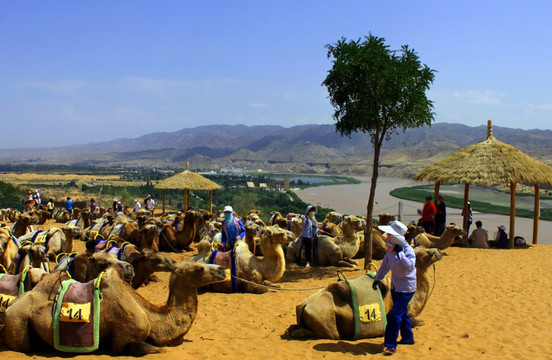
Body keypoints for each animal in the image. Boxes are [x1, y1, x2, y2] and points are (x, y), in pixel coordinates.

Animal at [5, 260, 225, 356]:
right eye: (199, 269)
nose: (222, 270)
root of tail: (11, 306)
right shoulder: (125, 338)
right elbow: (158, 350)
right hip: (17, 319)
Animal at [286, 246, 442, 338]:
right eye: (427, 253)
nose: (439, 252)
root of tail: (302, 306)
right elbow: (417, 321)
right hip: (326, 321)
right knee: (330, 334)